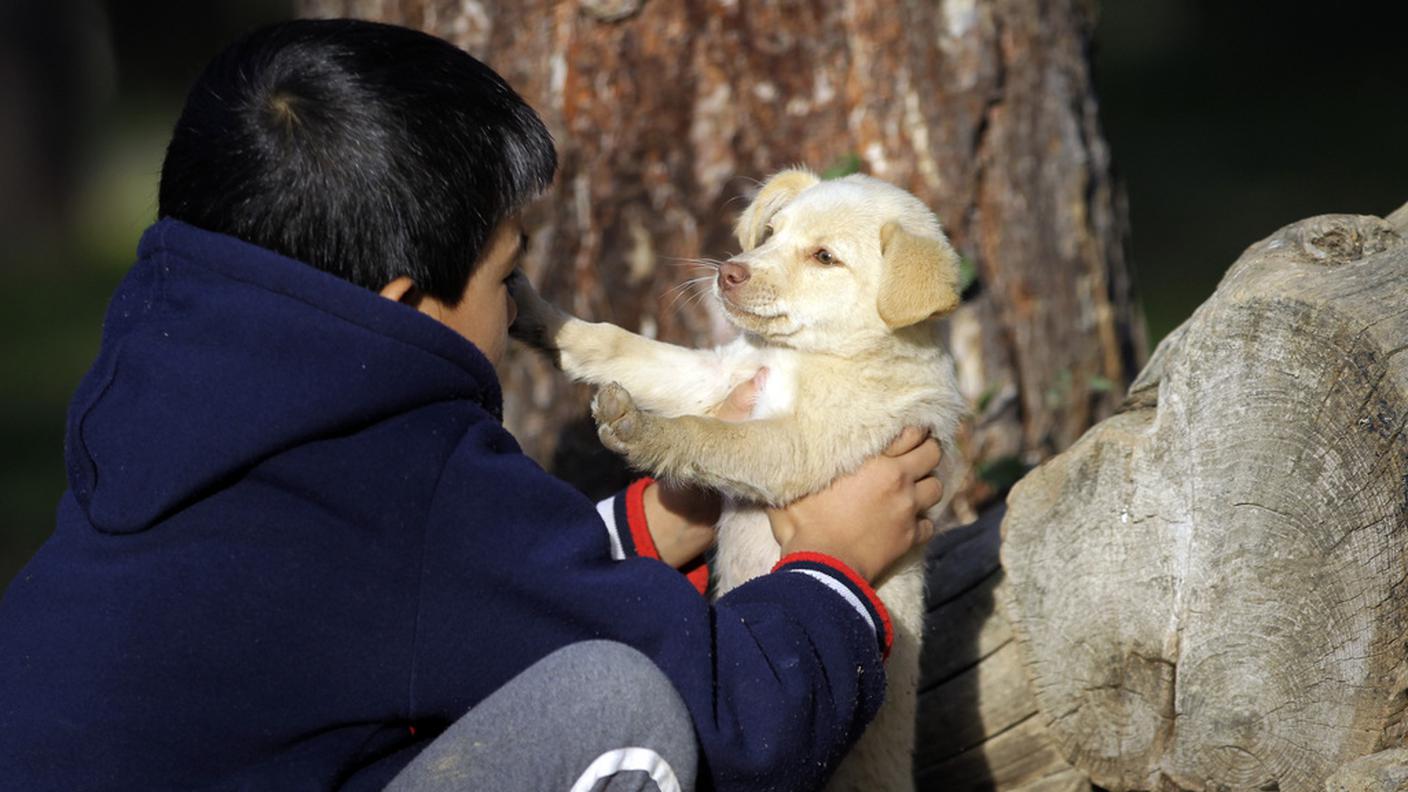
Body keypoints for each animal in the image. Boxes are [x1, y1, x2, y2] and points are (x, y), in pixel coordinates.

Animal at [512, 169, 963, 783]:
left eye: (825, 257)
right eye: (770, 232)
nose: (728, 272)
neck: (801, 358)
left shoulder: (801, 445)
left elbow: (710, 435)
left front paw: (645, 432)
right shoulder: (717, 375)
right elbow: (617, 342)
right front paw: (536, 312)